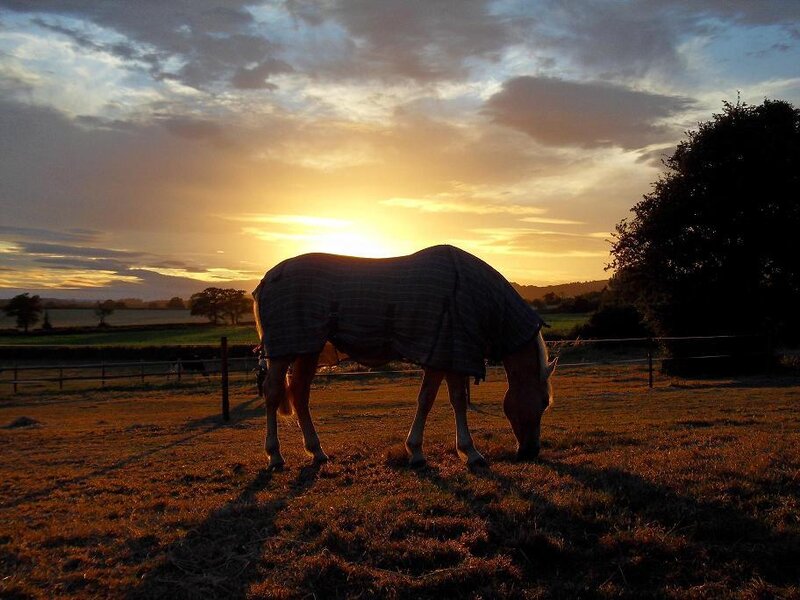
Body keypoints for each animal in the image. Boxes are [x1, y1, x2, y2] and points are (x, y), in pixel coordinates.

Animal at [252, 245, 556, 470]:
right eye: (543, 402)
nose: (531, 451)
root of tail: (267, 278)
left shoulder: (447, 355)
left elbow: (452, 400)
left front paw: (450, 451)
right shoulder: (445, 353)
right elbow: (431, 401)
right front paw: (451, 452)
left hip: (308, 350)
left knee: (299, 394)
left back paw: (317, 451)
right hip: (284, 351)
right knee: (274, 393)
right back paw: (275, 456)